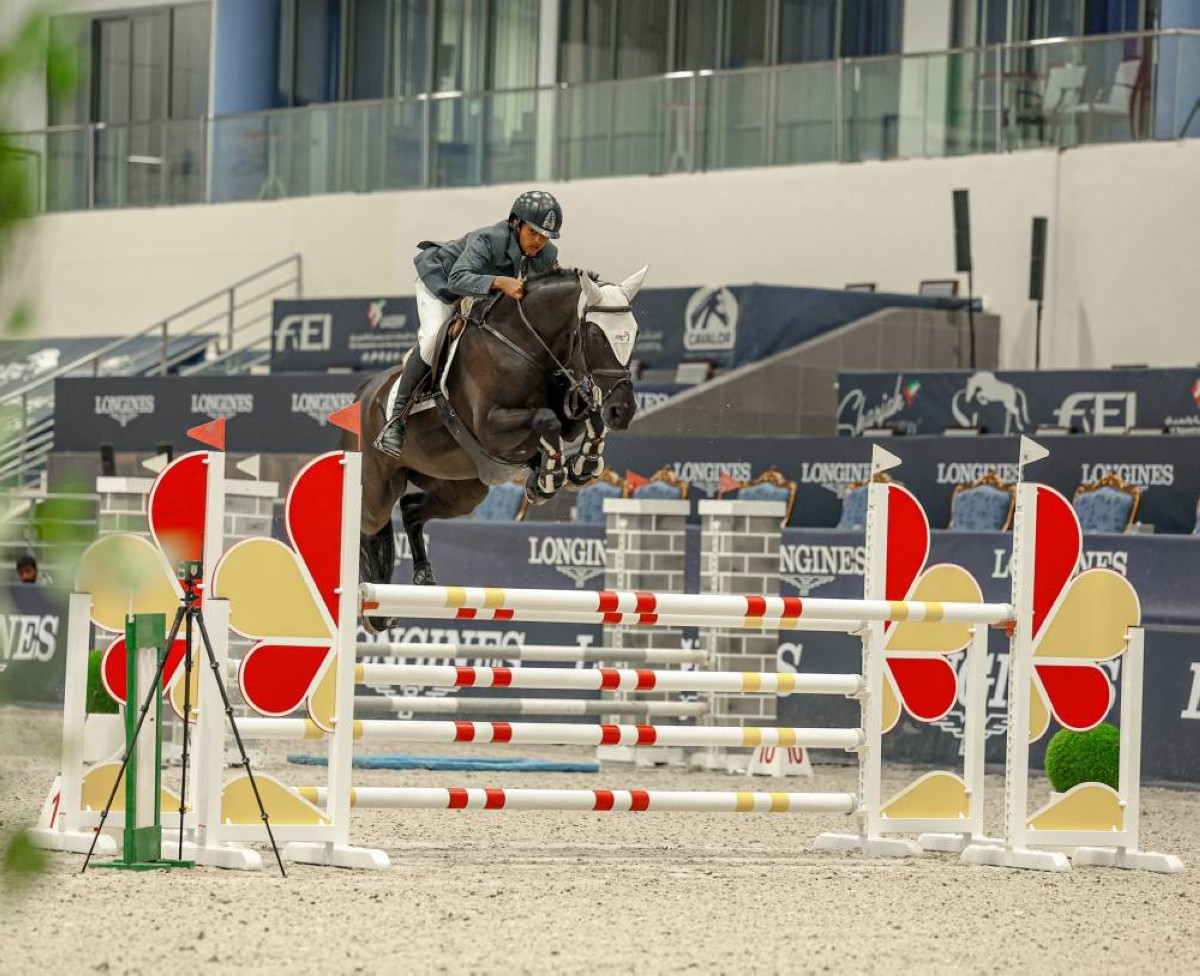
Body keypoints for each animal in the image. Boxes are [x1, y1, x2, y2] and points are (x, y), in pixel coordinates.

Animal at [346, 266, 647, 626]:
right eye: (597, 337)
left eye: (634, 334)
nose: (623, 411)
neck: (524, 345)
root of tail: (364, 394)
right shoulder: (491, 426)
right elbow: (547, 420)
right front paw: (548, 477)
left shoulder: (568, 407)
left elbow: (584, 419)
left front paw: (577, 468)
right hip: (378, 488)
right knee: (369, 524)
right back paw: (372, 604)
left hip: (462, 489)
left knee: (410, 509)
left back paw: (420, 579)